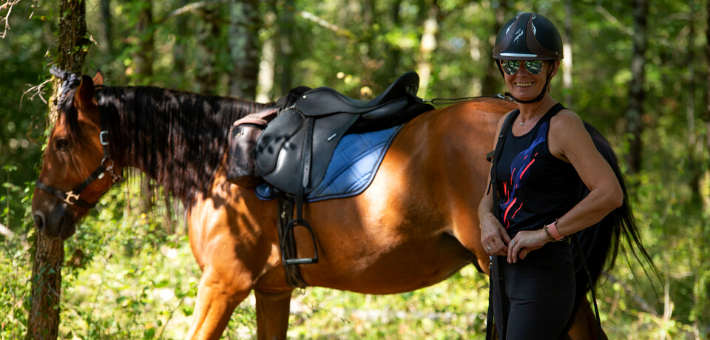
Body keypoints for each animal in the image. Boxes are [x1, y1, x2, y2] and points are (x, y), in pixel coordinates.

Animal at [32, 70, 644, 338]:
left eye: (60, 142)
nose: (40, 214)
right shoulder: (271, 291)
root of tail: (573, 127)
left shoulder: (222, 285)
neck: (220, 163)